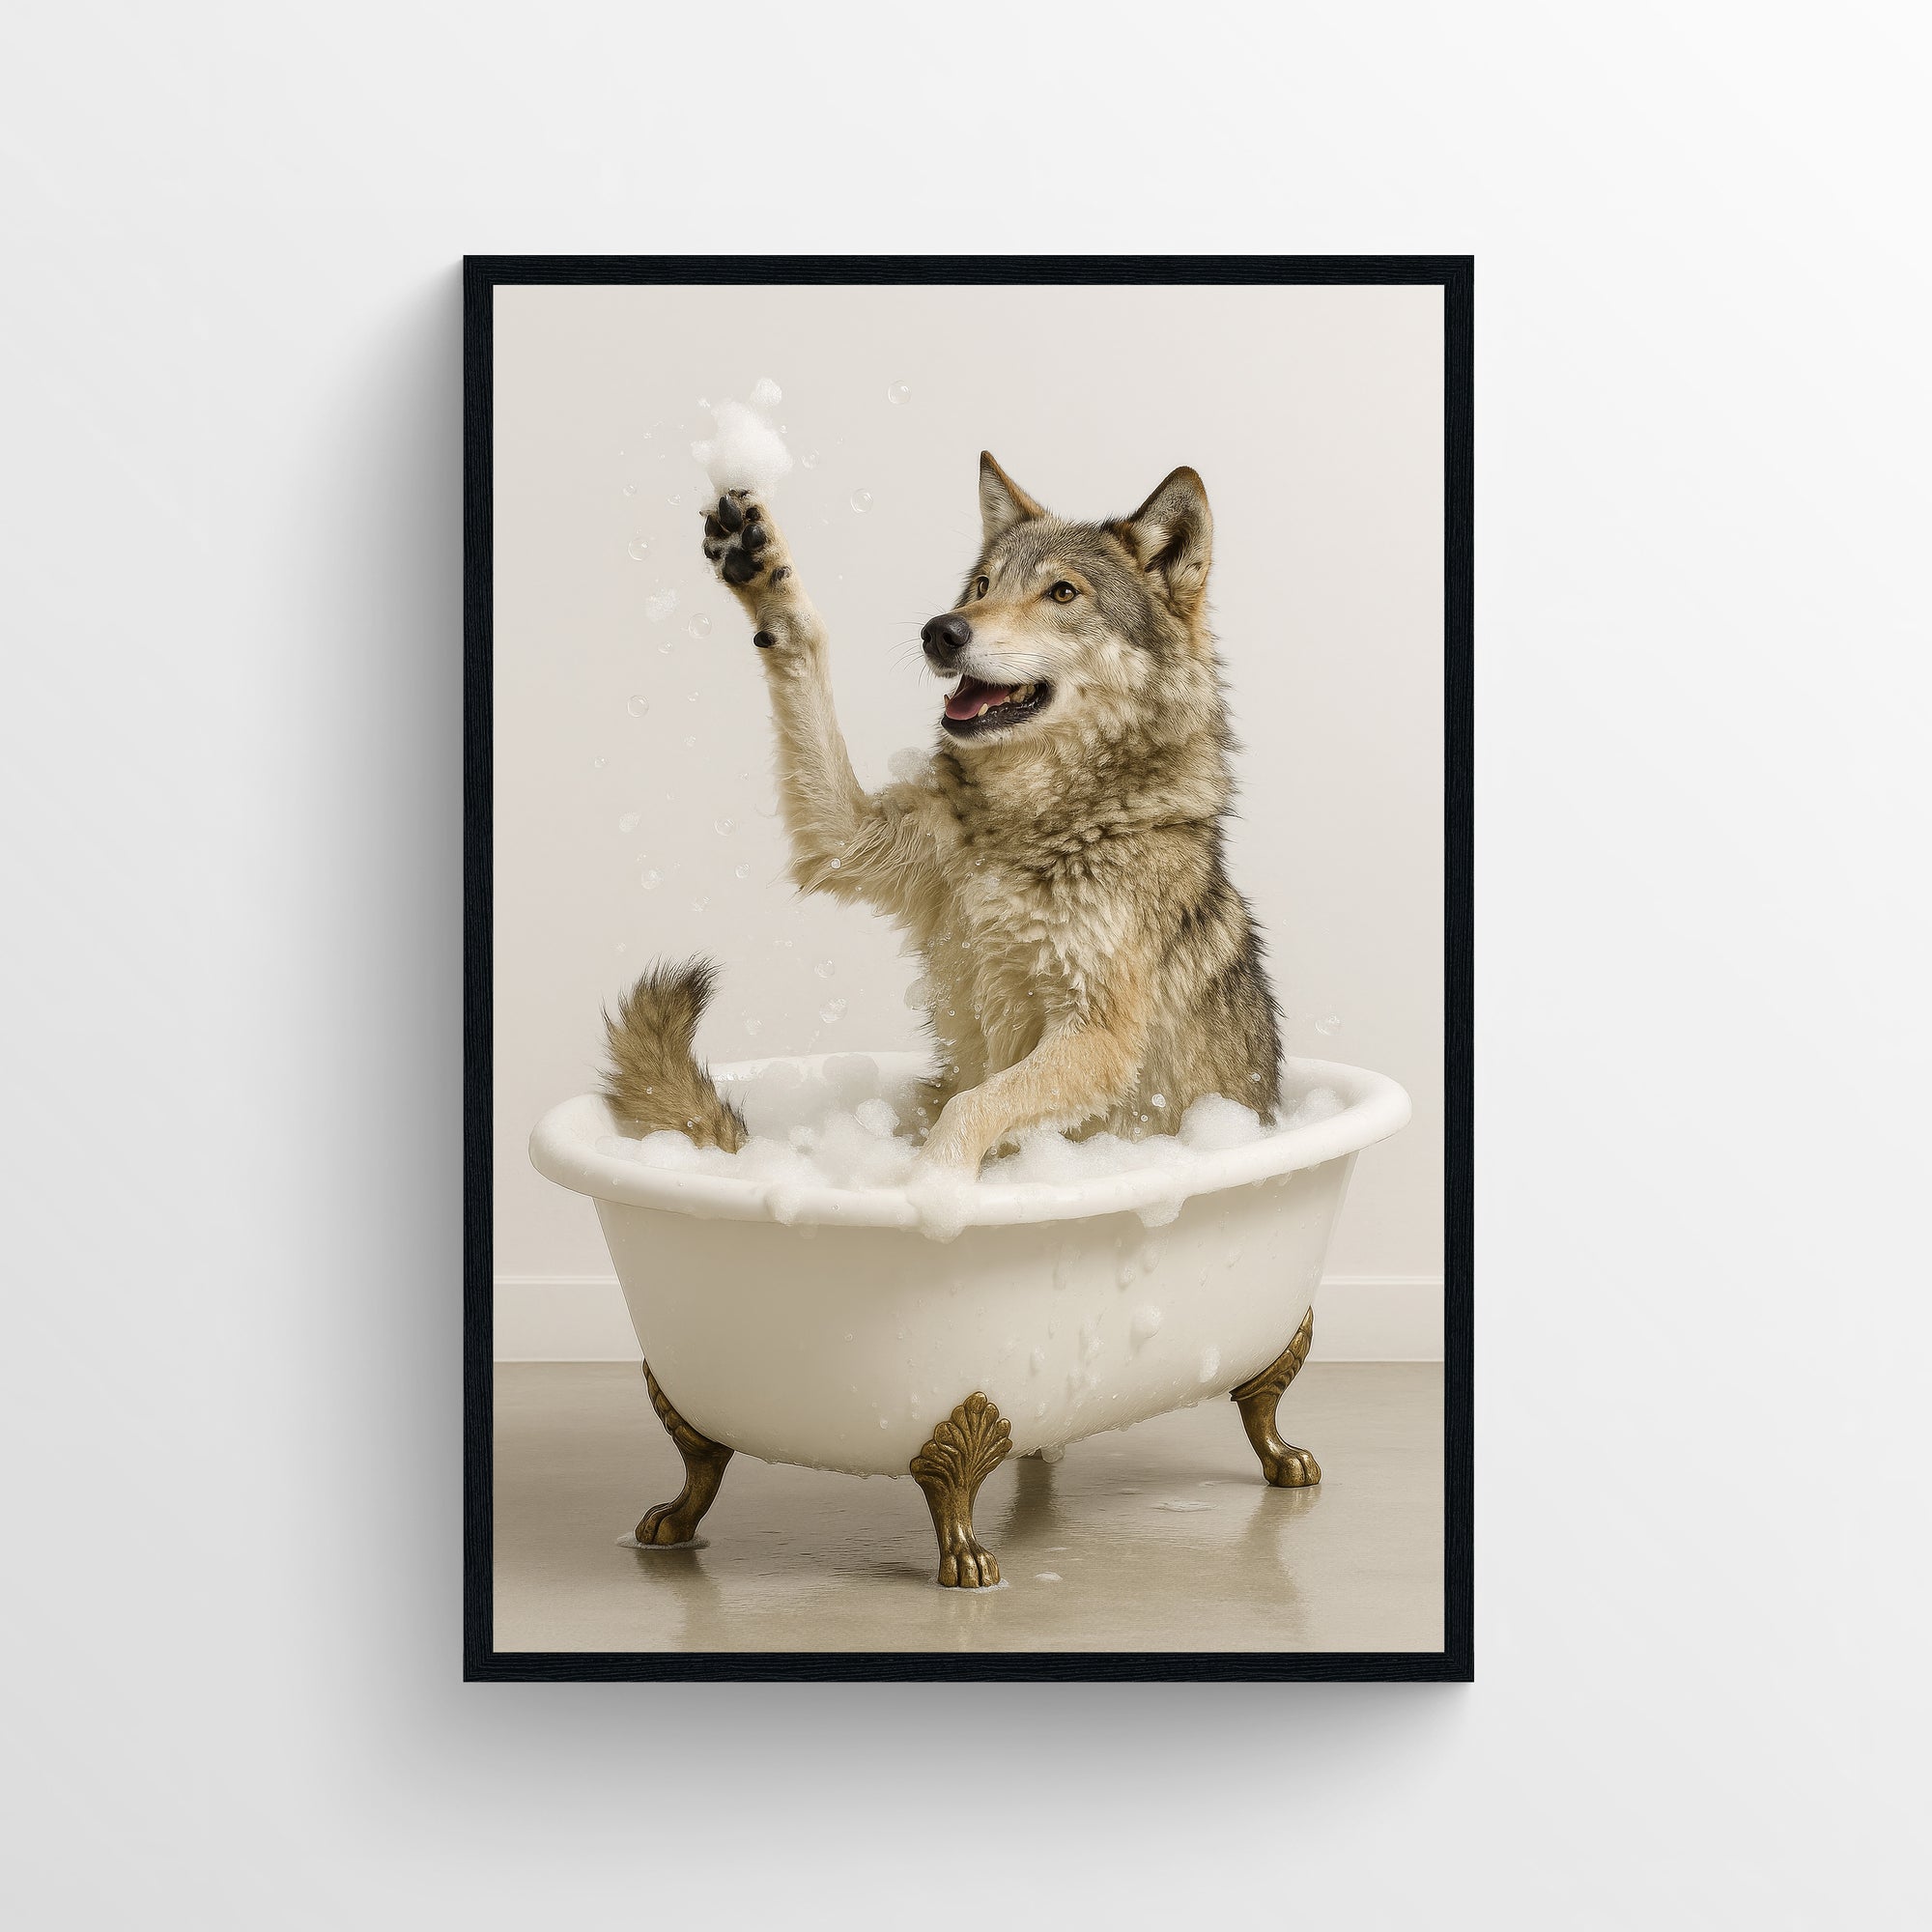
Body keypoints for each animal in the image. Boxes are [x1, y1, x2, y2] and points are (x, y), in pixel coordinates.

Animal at [602, 451, 1282, 1175]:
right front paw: (761, 565)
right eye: (980, 586)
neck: (1029, 826)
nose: (941, 629)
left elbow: (970, 1108)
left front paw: (926, 1187)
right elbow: (804, 649)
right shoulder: (843, 842)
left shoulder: (1099, 1038)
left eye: (1062, 593)